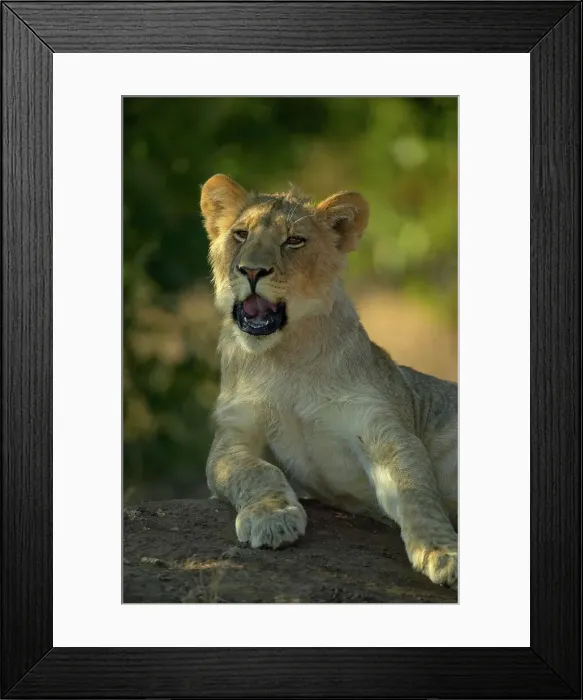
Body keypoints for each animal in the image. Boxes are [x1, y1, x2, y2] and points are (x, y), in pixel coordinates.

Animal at [200, 173, 458, 588]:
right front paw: (272, 519)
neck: (284, 357)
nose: (252, 271)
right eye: (240, 234)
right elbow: (256, 471)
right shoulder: (233, 436)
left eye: (294, 241)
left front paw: (444, 553)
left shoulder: (382, 428)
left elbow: (415, 488)